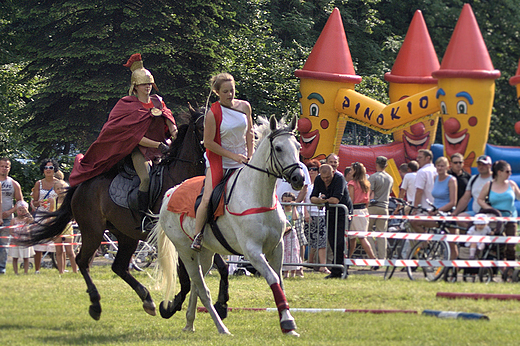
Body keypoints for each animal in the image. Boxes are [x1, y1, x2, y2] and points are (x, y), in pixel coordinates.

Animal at [20, 107, 228, 320]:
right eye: (202, 127)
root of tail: (81, 186)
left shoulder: (197, 237)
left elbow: (221, 267)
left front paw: (221, 304)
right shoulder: (177, 239)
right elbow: (186, 279)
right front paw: (170, 306)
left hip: (126, 235)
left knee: (118, 266)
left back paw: (147, 299)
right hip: (93, 231)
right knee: (82, 261)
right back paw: (96, 304)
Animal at [153, 115, 304, 336]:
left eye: (298, 146)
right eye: (278, 148)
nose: (298, 178)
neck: (258, 195)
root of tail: (170, 192)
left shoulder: (277, 248)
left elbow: (280, 281)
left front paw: (288, 321)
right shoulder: (253, 252)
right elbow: (273, 279)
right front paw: (288, 323)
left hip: (205, 253)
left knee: (196, 285)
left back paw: (190, 323)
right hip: (186, 252)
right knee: (202, 289)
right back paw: (221, 327)